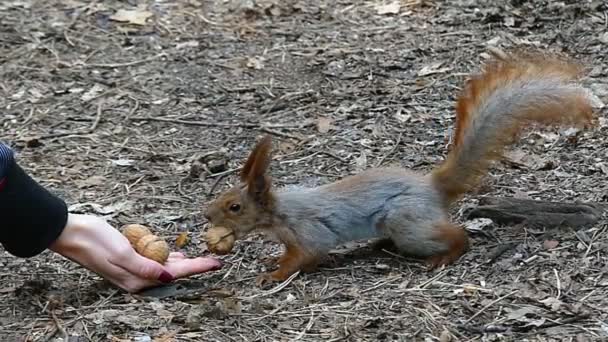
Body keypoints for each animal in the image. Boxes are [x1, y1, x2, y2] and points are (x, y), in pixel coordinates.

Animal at [203, 50, 592, 286]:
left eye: (234, 207)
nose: (206, 215)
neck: (279, 212)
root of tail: (432, 188)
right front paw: (272, 262)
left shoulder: (308, 231)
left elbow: (306, 256)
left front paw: (274, 276)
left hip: (406, 220)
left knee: (456, 235)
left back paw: (444, 255)